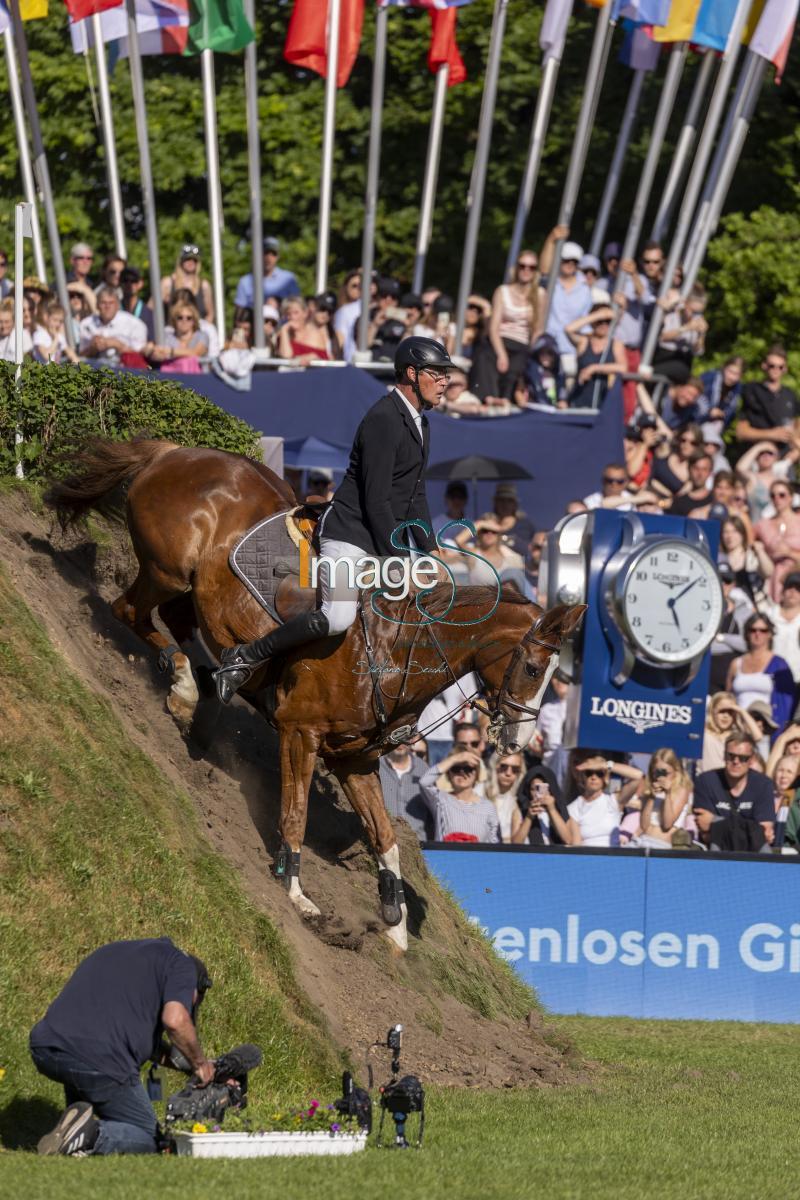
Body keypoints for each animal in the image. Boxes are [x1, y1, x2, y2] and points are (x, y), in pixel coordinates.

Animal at [48, 436, 587, 950]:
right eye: (533, 668)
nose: (518, 742)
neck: (392, 649)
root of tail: (175, 452)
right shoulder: (299, 733)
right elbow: (295, 816)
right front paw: (296, 895)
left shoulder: (354, 760)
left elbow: (384, 835)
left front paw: (394, 921)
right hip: (167, 571)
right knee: (128, 611)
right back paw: (187, 687)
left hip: (189, 589)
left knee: (176, 621)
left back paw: (208, 693)